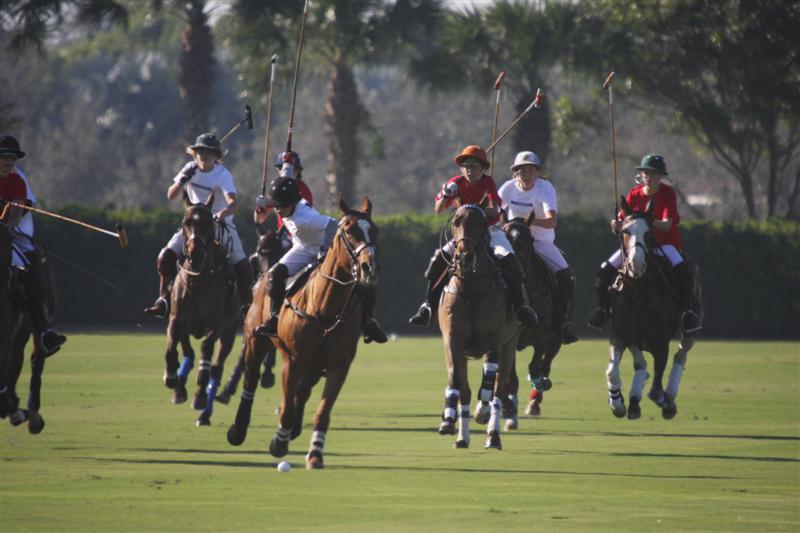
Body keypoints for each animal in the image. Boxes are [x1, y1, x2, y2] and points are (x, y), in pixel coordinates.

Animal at [162, 192, 239, 426]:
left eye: (208, 223)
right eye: (185, 222)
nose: (195, 254)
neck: (198, 281)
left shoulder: (216, 325)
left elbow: (205, 350)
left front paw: (199, 395)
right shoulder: (177, 319)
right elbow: (174, 348)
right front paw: (172, 379)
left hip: (230, 332)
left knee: (217, 367)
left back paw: (204, 410)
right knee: (189, 353)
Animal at [227, 197, 379, 469]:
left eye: (375, 231)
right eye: (349, 230)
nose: (368, 267)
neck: (324, 308)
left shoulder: (339, 365)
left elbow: (322, 412)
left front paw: (315, 454)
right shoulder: (293, 361)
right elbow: (286, 409)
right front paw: (278, 442)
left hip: (314, 367)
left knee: (301, 393)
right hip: (256, 340)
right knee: (251, 380)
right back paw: (239, 429)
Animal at [436, 201, 520, 450]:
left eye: (482, 223)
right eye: (456, 222)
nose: (464, 256)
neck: (471, 290)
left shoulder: (495, 340)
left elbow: (489, 384)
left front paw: (482, 412)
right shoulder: (453, 340)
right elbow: (461, 386)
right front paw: (458, 433)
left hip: (510, 344)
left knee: (498, 389)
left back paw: (493, 434)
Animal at [502, 213, 563, 420]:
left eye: (530, 240)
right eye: (504, 237)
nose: (516, 271)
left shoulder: (543, 337)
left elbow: (536, 367)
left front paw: (539, 383)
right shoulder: (509, 340)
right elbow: (511, 377)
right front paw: (509, 404)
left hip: (557, 335)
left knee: (547, 362)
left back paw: (536, 398)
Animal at [605, 199, 702, 420]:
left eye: (649, 233)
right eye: (625, 231)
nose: (636, 264)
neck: (639, 290)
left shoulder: (661, 342)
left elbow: (656, 390)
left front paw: (665, 401)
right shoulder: (619, 334)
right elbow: (612, 371)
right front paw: (618, 403)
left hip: (691, 327)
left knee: (680, 356)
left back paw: (668, 398)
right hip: (635, 337)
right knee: (641, 363)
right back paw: (634, 400)